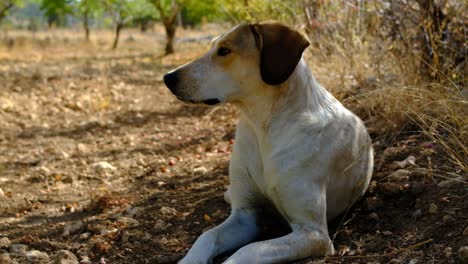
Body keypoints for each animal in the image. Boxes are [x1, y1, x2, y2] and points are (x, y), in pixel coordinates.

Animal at [163, 21, 374, 264]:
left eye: (224, 50)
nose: (167, 78)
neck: (262, 127)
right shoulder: (245, 216)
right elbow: (207, 236)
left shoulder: (313, 232)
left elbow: (249, 250)